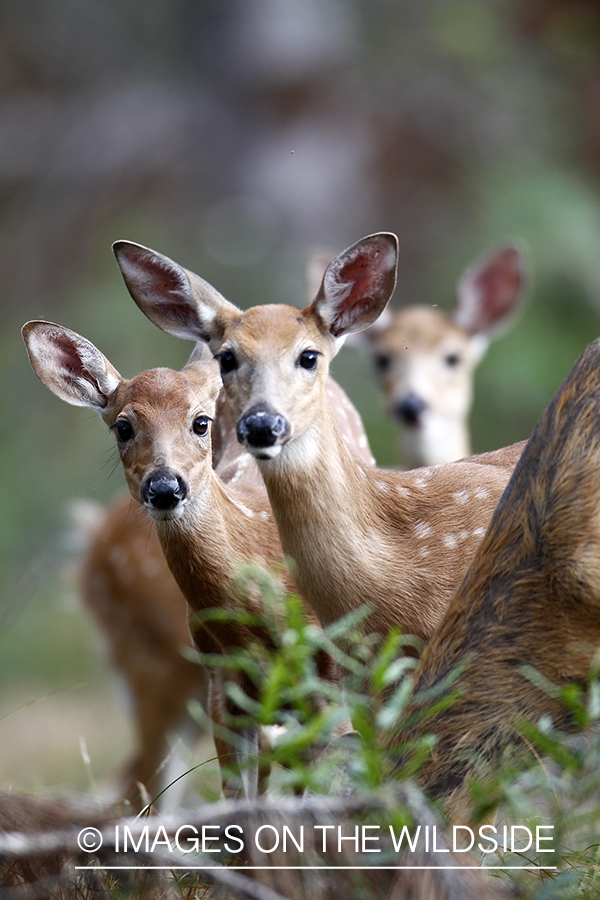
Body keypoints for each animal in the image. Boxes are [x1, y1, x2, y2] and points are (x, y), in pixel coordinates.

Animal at [22, 320, 370, 800]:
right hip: (155, 669)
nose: (165, 487)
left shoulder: (330, 684)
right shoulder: (221, 689)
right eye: (122, 427)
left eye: (200, 422)